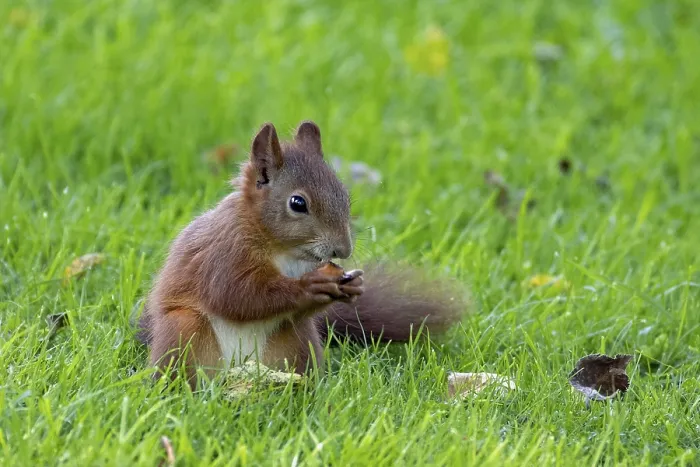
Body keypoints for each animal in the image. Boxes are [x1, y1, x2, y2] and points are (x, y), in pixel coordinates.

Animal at [136, 120, 467, 387]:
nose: (343, 250)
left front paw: (353, 286)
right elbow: (235, 295)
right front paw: (308, 287)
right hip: (183, 331)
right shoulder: (223, 253)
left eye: (345, 196)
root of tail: (239, 370)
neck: (285, 250)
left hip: (296, 340)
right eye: (297, 203)